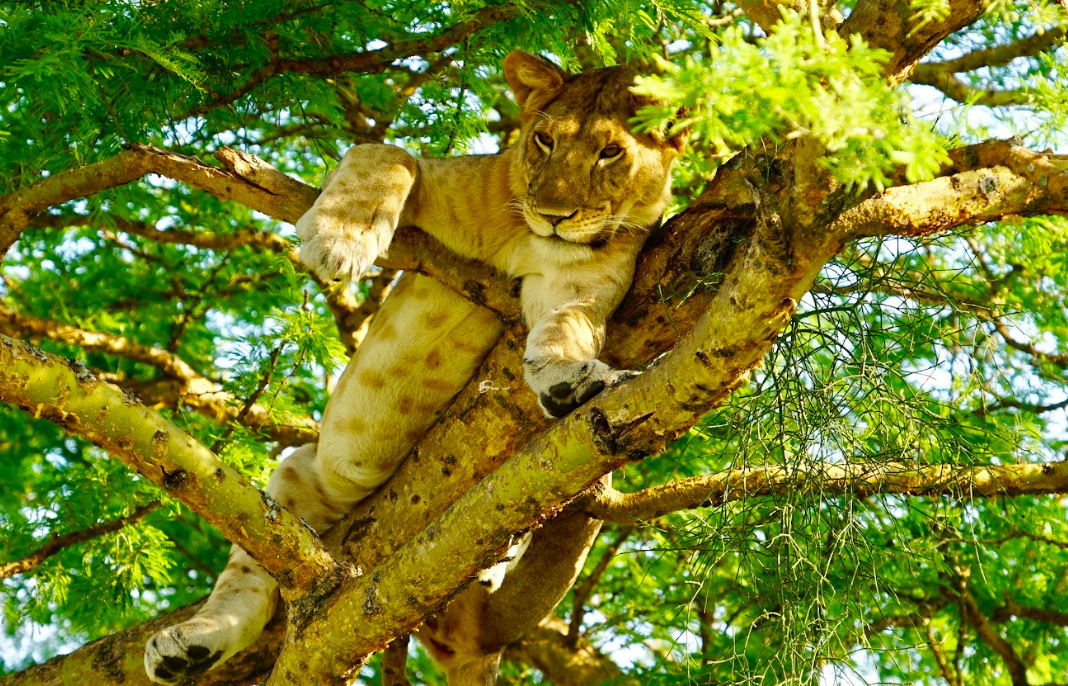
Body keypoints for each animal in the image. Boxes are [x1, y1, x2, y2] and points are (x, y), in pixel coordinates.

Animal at [145, 50, 683, 685]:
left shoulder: (574, 287)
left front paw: (572, 379)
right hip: (295, 481)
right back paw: (189, 645)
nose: (554, 215)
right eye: (544, 140)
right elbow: (388, 155)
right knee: (249, 578)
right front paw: (339, 239)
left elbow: (566, 328)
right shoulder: (434, 181)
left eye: (610, 152)